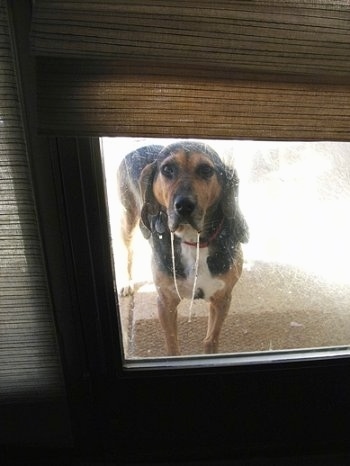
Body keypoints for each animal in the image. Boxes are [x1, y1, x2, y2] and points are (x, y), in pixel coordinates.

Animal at [117, 140, 249, 354]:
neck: (193, 241)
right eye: (167, 169)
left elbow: (211, 339)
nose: (184, 206)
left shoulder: (222, 299)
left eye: (206, 170)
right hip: (127, 217)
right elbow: (172, 346)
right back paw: (126, 282)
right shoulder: (166, 302)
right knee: (126, 250)